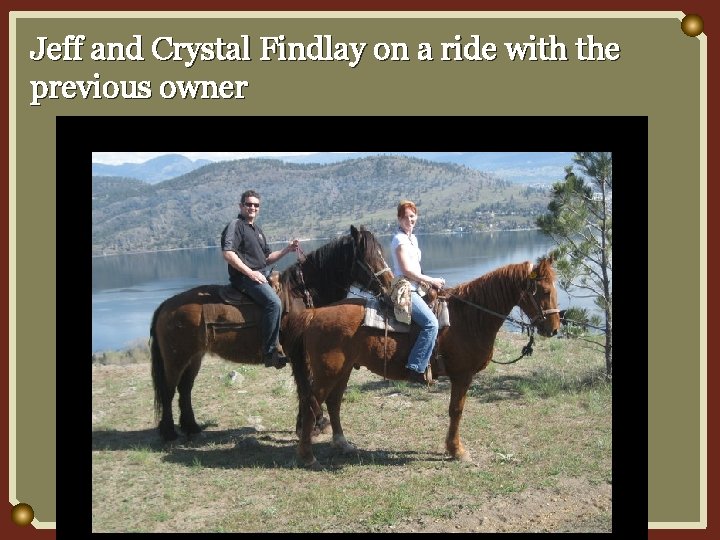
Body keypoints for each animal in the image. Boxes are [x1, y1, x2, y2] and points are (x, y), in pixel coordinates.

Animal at [148, 226, 390, 440]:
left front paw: (309, 424)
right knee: (169, 390)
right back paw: (169, 432)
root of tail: (165, 306)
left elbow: (305, 386)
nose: (389, 286)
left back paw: (191, 427)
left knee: (185, 389)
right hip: (175, 359)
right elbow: (305, 386)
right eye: (368, 256)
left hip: (194, 358)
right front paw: (314, 424)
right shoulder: (298, 355)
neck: (302, 293)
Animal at [282, 256, 564, 468]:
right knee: (311, 403)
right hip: (328, 372)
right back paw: (307, 456)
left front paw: (453, 448)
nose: (553, 328)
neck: (469, 317)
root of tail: (314, 314)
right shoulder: (462, 376)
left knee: (333, 402)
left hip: (343, 370)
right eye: (545, 291)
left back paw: (342, 443)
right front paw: (456, 450)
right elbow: (456, 411)